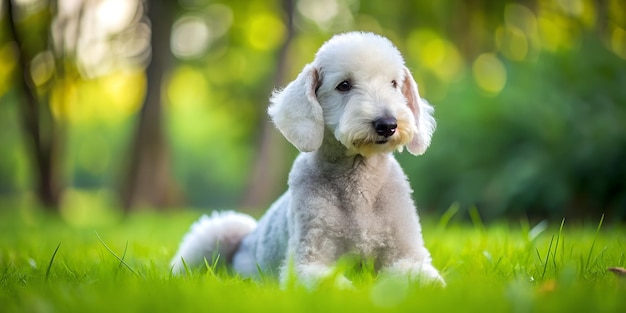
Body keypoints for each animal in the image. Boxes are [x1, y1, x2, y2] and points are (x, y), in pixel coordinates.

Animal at [171, 31, 442, 288]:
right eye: (344, 85)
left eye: (394, 83)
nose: (387, 125)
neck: (359, 184)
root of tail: (249, 236)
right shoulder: (308, 257)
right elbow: (328, 282)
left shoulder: (407, 252)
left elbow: (422, 276)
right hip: (220, 231)